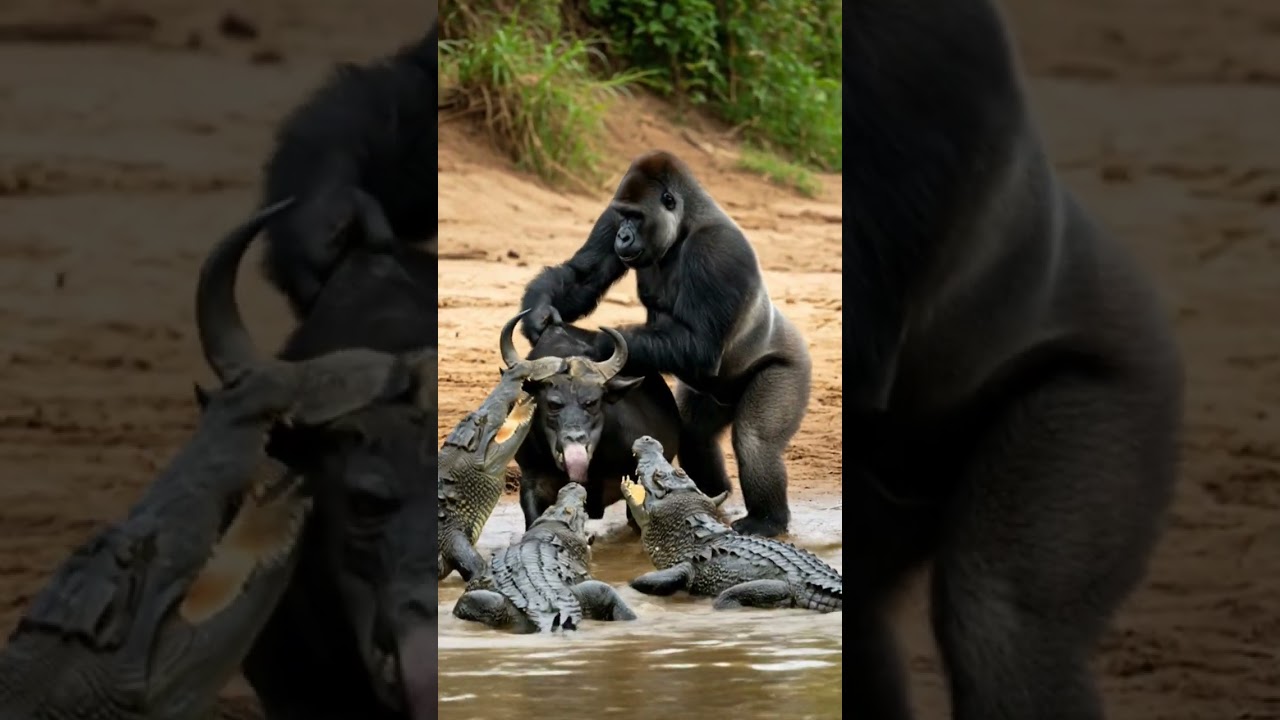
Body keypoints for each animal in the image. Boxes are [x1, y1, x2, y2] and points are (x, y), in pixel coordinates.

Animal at [519, 150, 813, 538]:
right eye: (623, 215)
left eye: (637, 217)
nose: (624, 236)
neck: (685, 223)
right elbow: (583, 275)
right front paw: (539, 316)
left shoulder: (717, 251)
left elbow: (700, 345)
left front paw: (595, 345)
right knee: (697, 435)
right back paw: (714, 493)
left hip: (793, 365)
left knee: (756, 441)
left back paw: (766, 521)